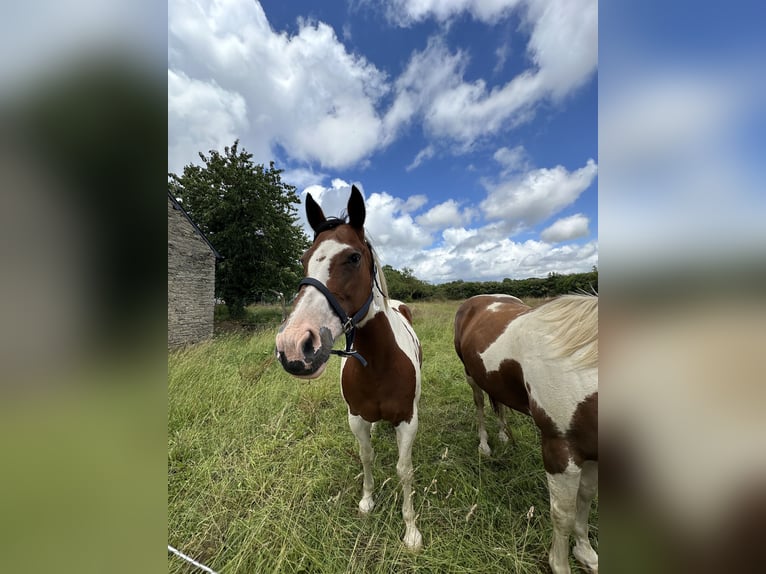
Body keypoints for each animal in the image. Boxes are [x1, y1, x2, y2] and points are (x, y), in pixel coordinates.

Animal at [274, 187, 426, 552]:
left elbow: (404, 470)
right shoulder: (356, 418)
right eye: (304, 259)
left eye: (353, 258)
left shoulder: (407, 420)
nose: (293, 345)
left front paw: (411, 530)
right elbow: (366, 456)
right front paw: (367, 501)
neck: (380, 365)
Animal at [456, 294, 600, 572]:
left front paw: (586, 554)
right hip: (471, 377)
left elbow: (585, 498)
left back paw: (503, 436)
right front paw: (560, 564)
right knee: (480, 404)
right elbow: (563, 514)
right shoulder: (559, 450)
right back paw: (485, 446)